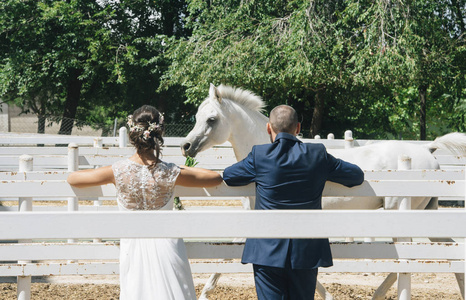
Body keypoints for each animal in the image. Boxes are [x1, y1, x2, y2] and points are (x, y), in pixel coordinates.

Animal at [181, 84, 466, 300]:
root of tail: (428, 150)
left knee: (408, 261)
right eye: (196, 116)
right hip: (426, 216)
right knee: (447, 252)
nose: (186, 146)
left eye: (212, 119)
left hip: (401, 215)